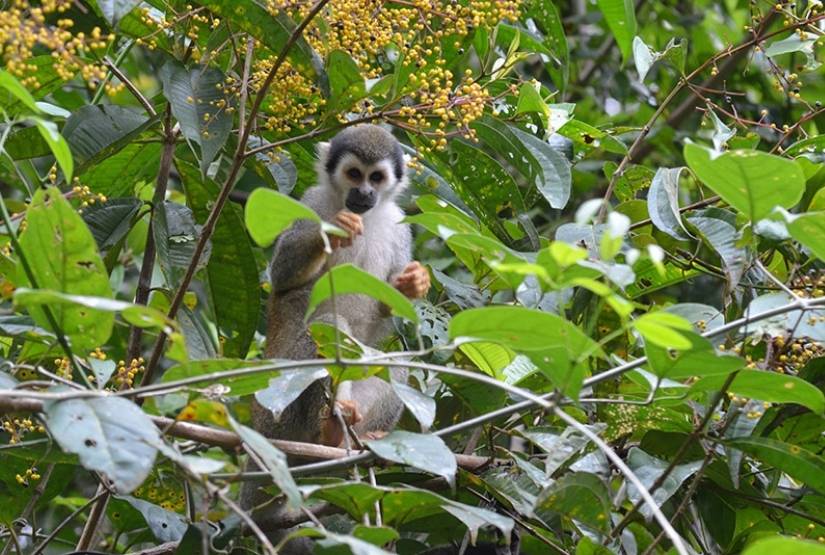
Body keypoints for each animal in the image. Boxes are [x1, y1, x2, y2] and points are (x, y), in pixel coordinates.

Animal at [240, 125, 430, 546]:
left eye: (376, 178)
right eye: (354, 174)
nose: (365, 194)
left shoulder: (400, 225)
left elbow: (390, 304)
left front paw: (414, 283)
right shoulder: (310, 201)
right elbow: (283, 276)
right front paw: (332, 231)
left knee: (394, 363)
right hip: (279, 410)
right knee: (327, 327)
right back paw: (327, 428)